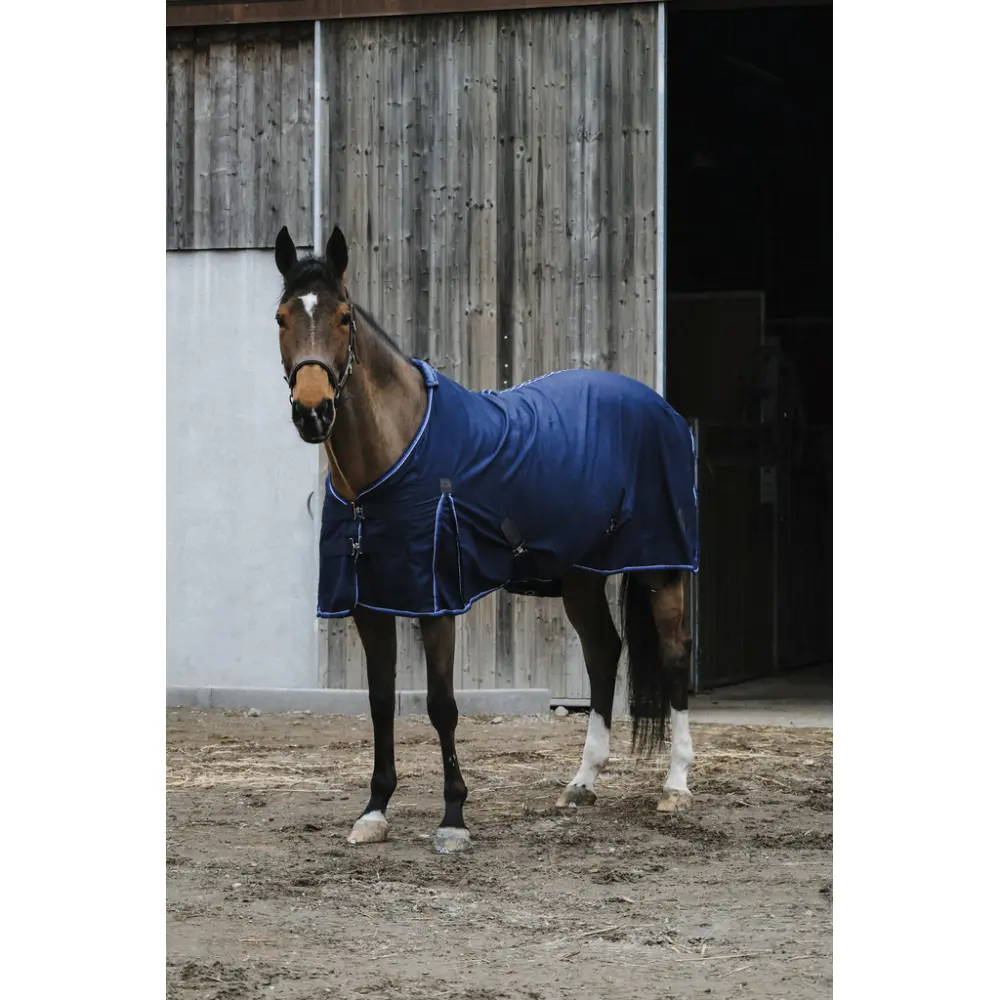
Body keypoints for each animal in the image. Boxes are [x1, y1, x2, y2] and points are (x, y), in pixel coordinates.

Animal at [273, 224, 698, 854]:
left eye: (344, 317)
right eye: (281, 317)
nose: (313, 412)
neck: (389, 465)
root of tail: (660, 407)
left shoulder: (437, 601)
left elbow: (442, 705)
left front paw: (453, 818)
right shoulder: (370, 601)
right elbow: (379, 703)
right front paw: (374, 810)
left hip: (659, 567)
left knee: (673, 657)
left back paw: (675, 786)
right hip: (580, 576)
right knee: (603, 654)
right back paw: (581, 783)